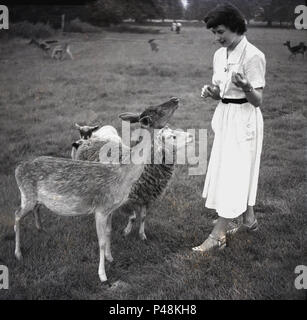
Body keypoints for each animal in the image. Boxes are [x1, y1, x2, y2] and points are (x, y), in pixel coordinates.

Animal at [13, 97, 179, 282]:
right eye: (158, 110)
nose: (175, 99)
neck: (123, 177)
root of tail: (17, 169)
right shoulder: (100, 208)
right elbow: (101, 241)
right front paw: (103, 275)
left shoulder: (111, 209)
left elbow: (109, 233)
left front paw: (111, 258)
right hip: (27, 194)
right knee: (17, 215)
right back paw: (18, 254)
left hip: (33, 198)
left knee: (33, 209)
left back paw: (40, 229)